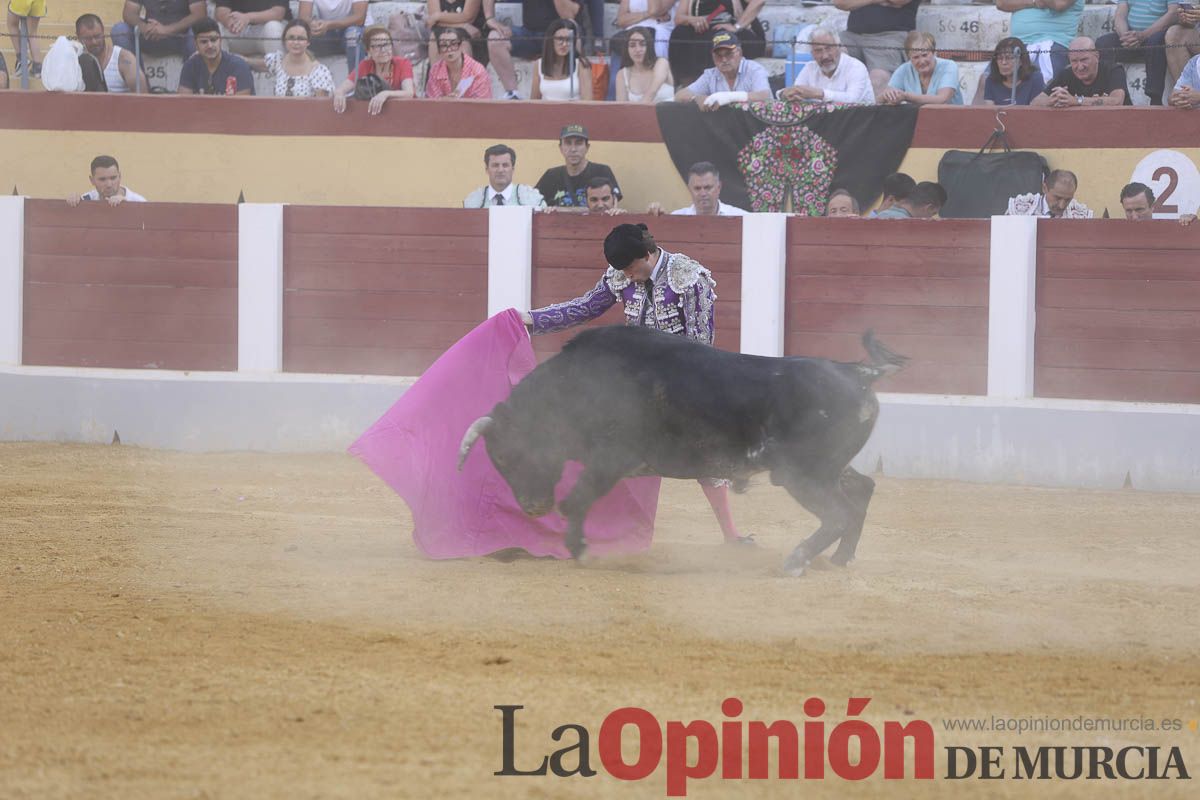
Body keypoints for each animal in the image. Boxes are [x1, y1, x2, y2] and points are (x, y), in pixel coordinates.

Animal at [453, 326, 902, 575]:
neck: (575, 385)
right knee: (861, 492)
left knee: (839, 512)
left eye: (506, 455)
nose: (532, 508)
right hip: (827, 469)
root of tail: (858, 372)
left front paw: (581, 551)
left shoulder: (611, 459)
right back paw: (839, 560)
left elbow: (576, 501)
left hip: (802, 474)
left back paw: (795, 562)